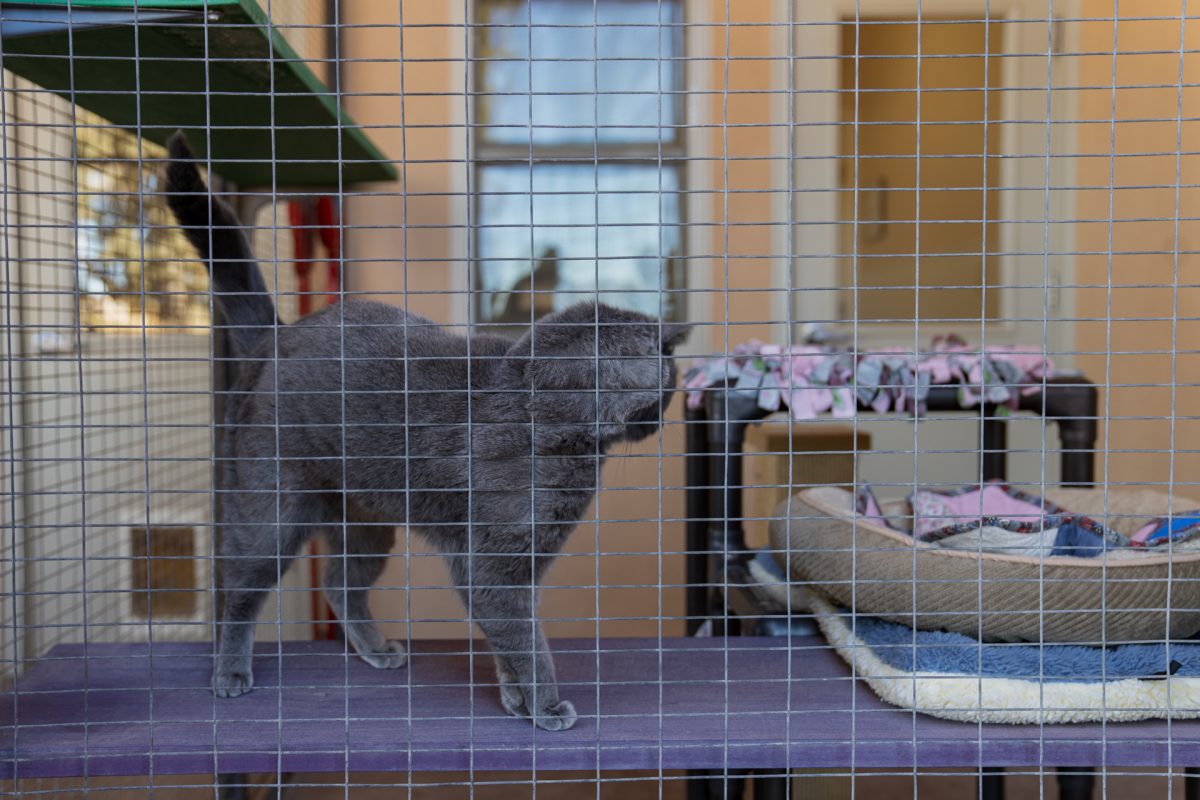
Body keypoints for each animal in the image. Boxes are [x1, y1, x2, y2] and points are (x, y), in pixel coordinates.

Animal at [163, 131, 686, 734]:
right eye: (669, 386)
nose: (666, 412)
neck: (551, 421)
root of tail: (276, 335)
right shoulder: (498, 562)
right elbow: (527, 643)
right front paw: (546, 706)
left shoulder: (498, 561)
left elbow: (506, 641)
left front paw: (515, 700)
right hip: (269, 507)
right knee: (240, 589)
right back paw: (230, 673)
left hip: (368, 519)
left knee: (339, 581)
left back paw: (375, 649)